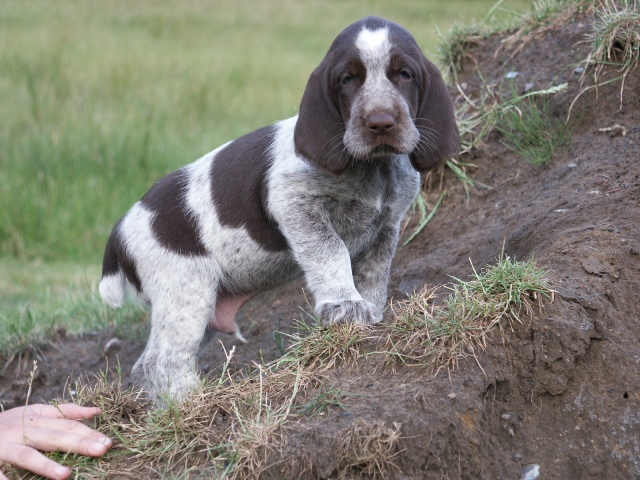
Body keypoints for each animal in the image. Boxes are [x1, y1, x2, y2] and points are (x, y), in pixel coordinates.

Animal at [99, 16, 460, 400]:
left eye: (404, 74)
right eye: (348, 79)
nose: (380, 122)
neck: (372, 169)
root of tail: (120, 230)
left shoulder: (386, 227)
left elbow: (375, 276)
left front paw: (370, 316)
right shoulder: (293, 202)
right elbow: (331, 251)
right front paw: (344, 305)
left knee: (147, 367)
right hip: (186, 289)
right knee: (161, 364)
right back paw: (193, 404)